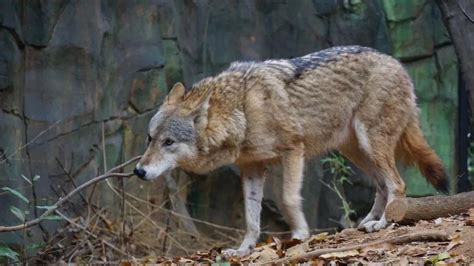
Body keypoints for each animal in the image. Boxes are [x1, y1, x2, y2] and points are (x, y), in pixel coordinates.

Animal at [133, 46, 448, 258]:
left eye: (169, 142)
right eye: (150, 139)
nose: (138, 170)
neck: (242, 110)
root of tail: (398, 64)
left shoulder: (293, 150)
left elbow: (287, 199)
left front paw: (299, 235)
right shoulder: (251, 168)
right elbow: (251, 218)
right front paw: (243, 250)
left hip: (370, 144)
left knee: (397, 184)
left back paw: (383, 223)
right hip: (357, 152)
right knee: (382, 185)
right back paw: (366, 222)